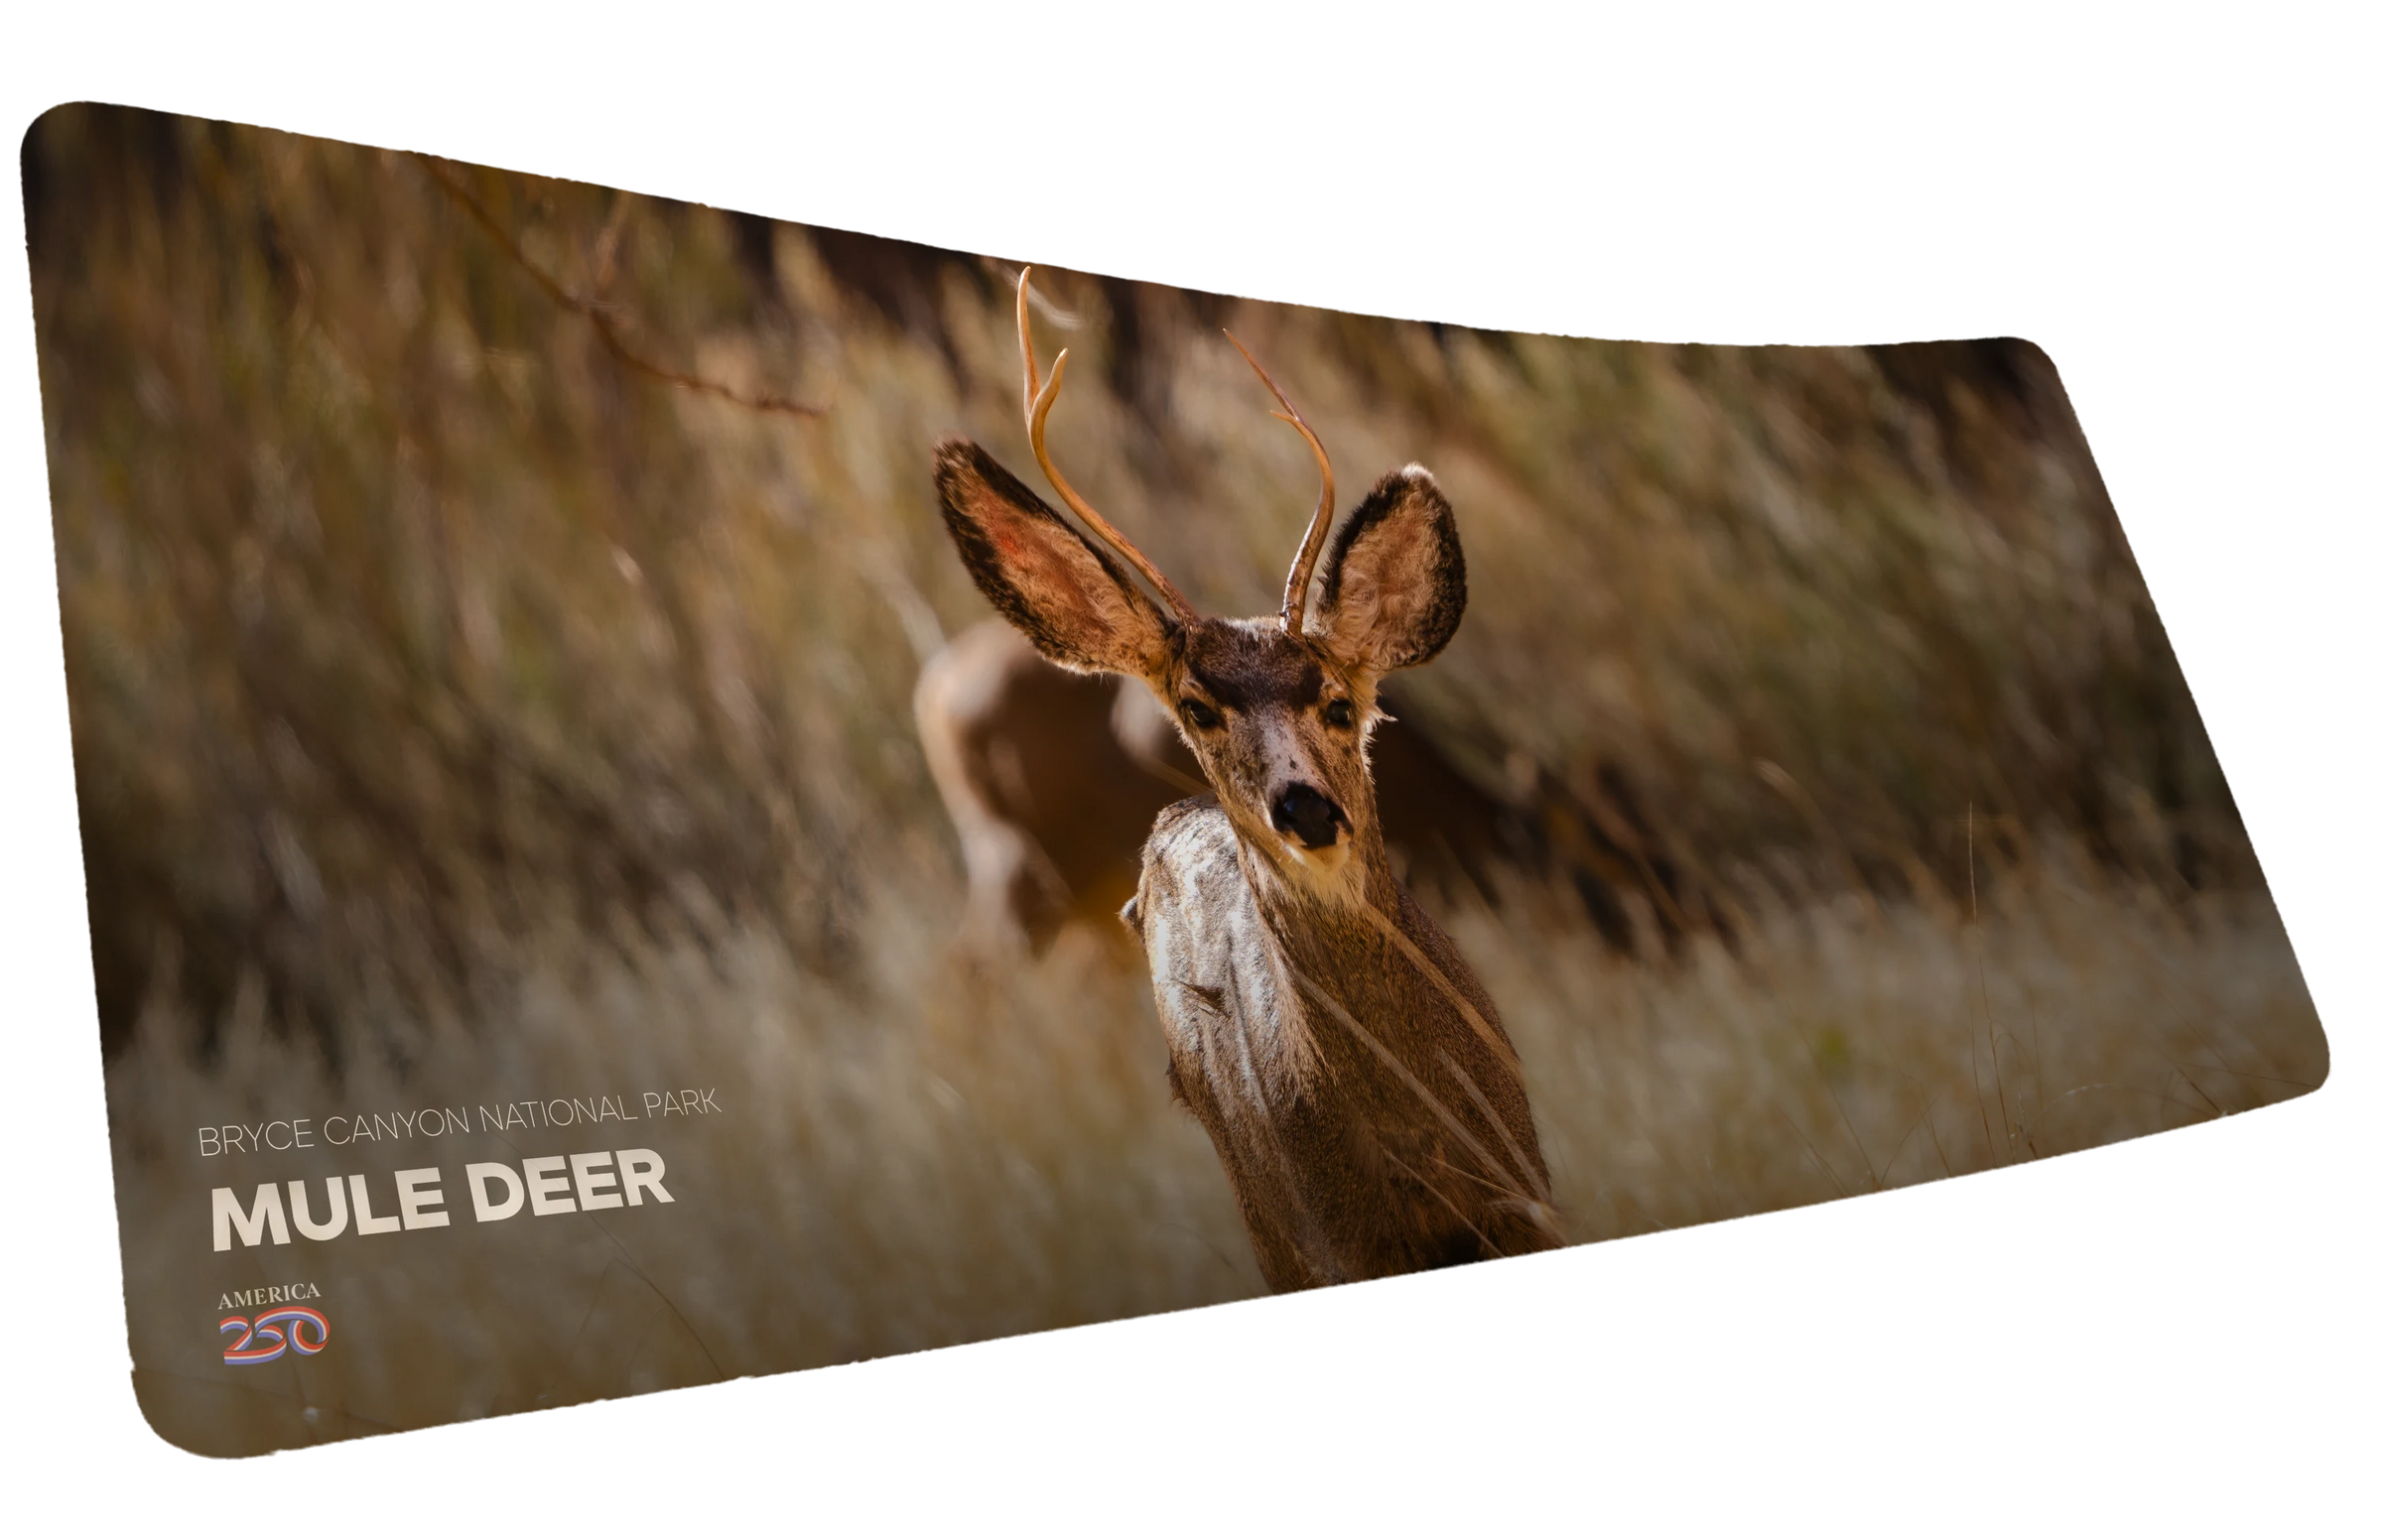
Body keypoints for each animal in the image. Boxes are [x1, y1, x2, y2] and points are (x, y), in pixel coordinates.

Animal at [929, 269, 1565, 1294]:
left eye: (1340, 702)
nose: (1307, 810)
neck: (1419, 1154)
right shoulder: (1330, 1239)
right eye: (1197, 708)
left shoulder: (1527, 1193)